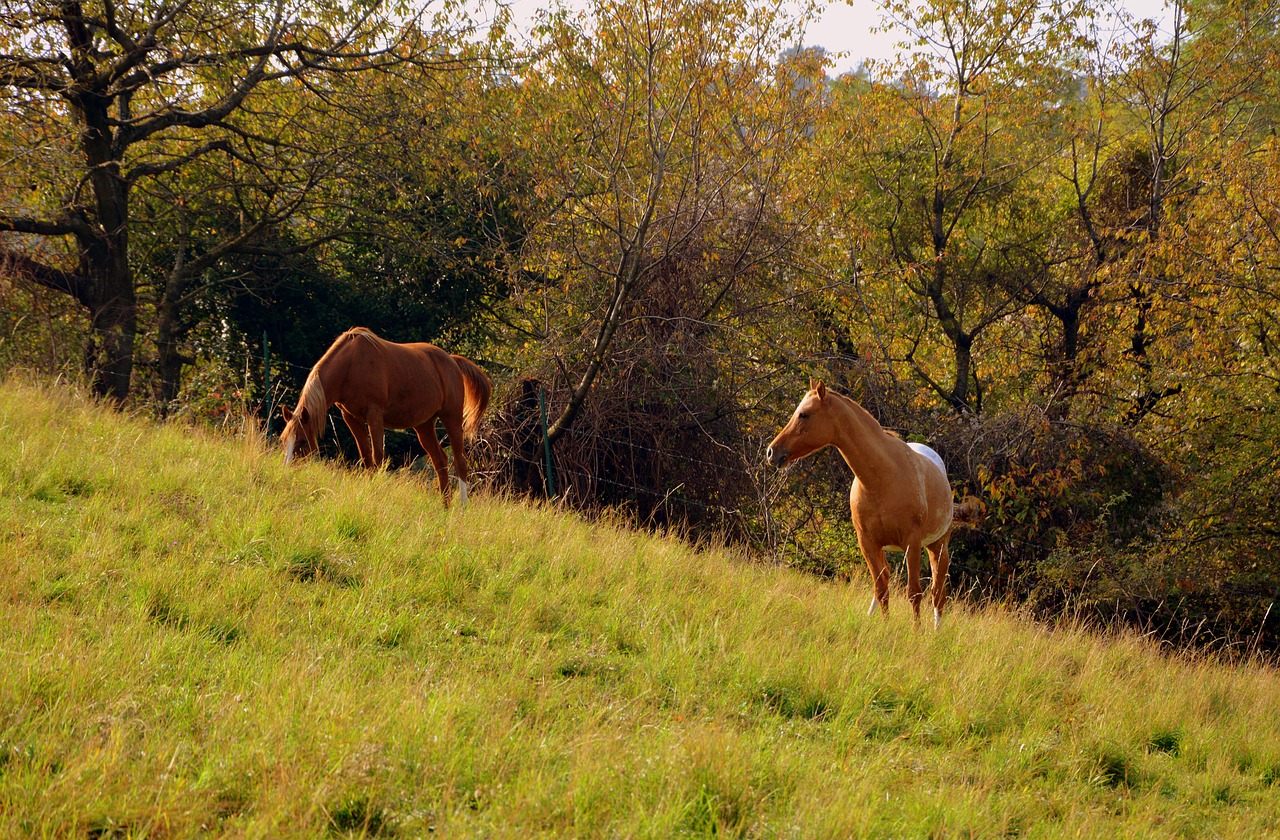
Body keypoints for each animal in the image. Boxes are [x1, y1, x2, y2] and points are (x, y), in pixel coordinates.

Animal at [280, 327, 488, 504]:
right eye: (284, 441)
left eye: (302, 441)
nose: (287, 471)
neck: (350, 366)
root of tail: (452, 361)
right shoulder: (350, 417)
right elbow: (366, 457)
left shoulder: (374, 415)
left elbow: (378, 456)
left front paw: (376, 493)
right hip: (424, 425)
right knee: (441, 462)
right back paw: (444, 507)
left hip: (452, 419)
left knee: (460, 463)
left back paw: (461, 508)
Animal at [762, 379, 972, 622]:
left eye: (804, 414)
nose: (771, 452)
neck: (882, 478)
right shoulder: (867, 542)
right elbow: (881, 589)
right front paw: (885, 625)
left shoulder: (911, 542)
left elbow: (914, 592)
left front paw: (916, 629)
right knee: (888, 579)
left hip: (938, 547)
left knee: (938, 594)